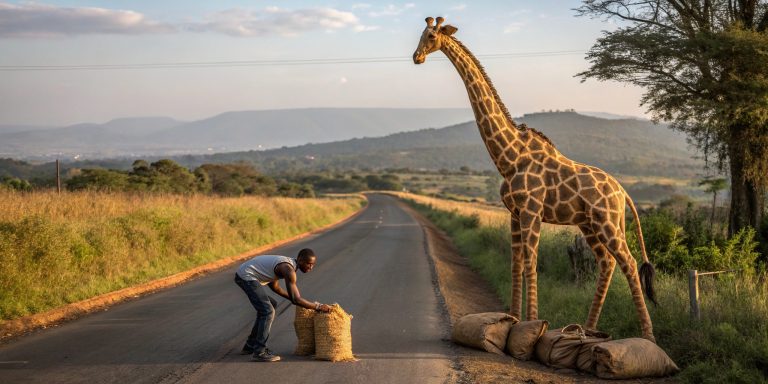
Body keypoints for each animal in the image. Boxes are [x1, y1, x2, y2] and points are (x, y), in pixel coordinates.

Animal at [414, 17, 660, 342]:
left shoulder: (531, 210)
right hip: (590, 223)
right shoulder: (514, 212)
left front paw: (532, 325)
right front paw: (511, 320)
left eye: (431, 36)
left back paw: (648, 336)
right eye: (420, 35)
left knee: (628, 262)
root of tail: (623, 192)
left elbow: (531, 263)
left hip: (607, 222)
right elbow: (516, 263)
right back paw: (589, 329)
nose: (416, 57)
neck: (509, 157)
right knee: (606, 263)